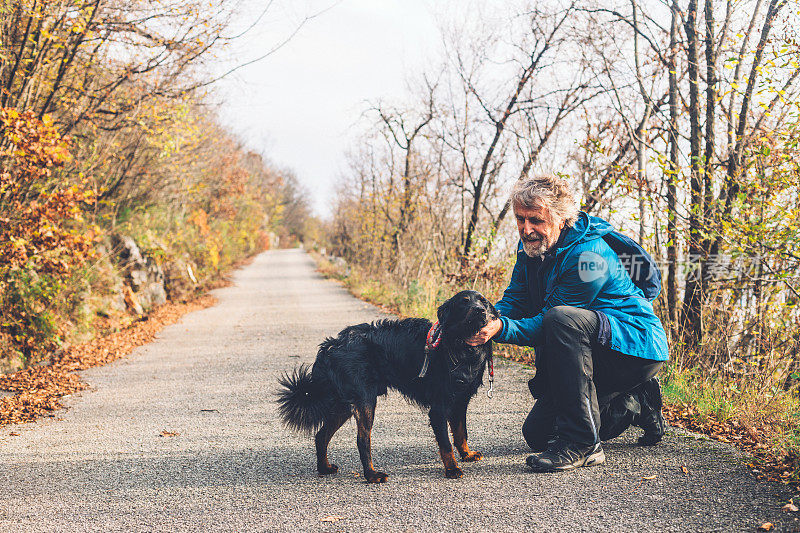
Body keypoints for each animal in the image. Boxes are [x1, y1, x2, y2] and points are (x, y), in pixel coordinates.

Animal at [278, 290, 496, 482]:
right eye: (464, 302)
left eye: (483, 302)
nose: (480, 310)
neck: (461, 346)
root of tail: (332, 346)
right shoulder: (439, 408)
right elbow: (446, 443)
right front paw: (451, 468)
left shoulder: (460, 401)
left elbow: (461, 433)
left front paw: (466, 454)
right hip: (365, 402)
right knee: (362, 440)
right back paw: (372, 475)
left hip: (344, 404)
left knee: (321, 435)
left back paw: (324, 468)